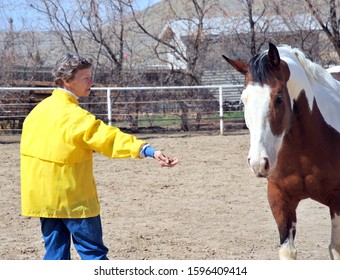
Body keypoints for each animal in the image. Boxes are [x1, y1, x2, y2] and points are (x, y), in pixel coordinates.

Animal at [222, 42, 340, 260]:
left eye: (278, 98)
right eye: (243, 101)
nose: (258, 163)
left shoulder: (337, 199)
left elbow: (335, 248)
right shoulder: (279, 197)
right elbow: (288, 251)